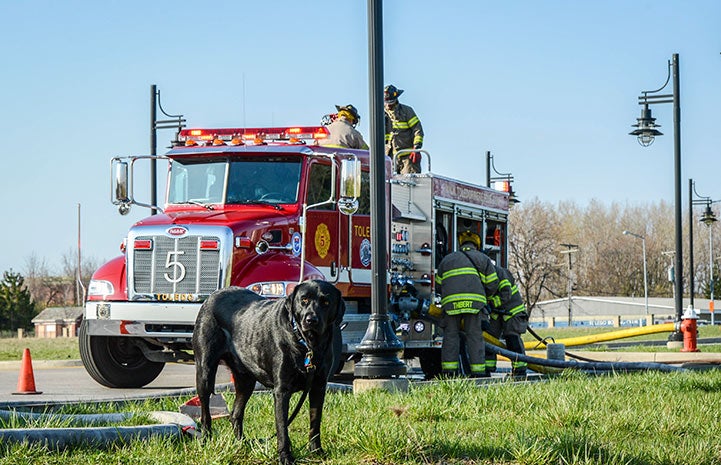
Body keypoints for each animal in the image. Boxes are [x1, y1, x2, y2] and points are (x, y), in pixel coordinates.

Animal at [193, 280, 344, 464]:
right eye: (304, 300)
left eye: (326, 302)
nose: (311, 320)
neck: (307, 344)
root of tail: (213, 295)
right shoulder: (281, 391)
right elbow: (282, 427)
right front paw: (285, 457)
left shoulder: (318, 387)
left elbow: (315, 421)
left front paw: (316, 451)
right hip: (205, 371)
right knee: (205, 413)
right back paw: (205, 440)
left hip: (246, 381)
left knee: (235, 413)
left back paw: (242, 444)